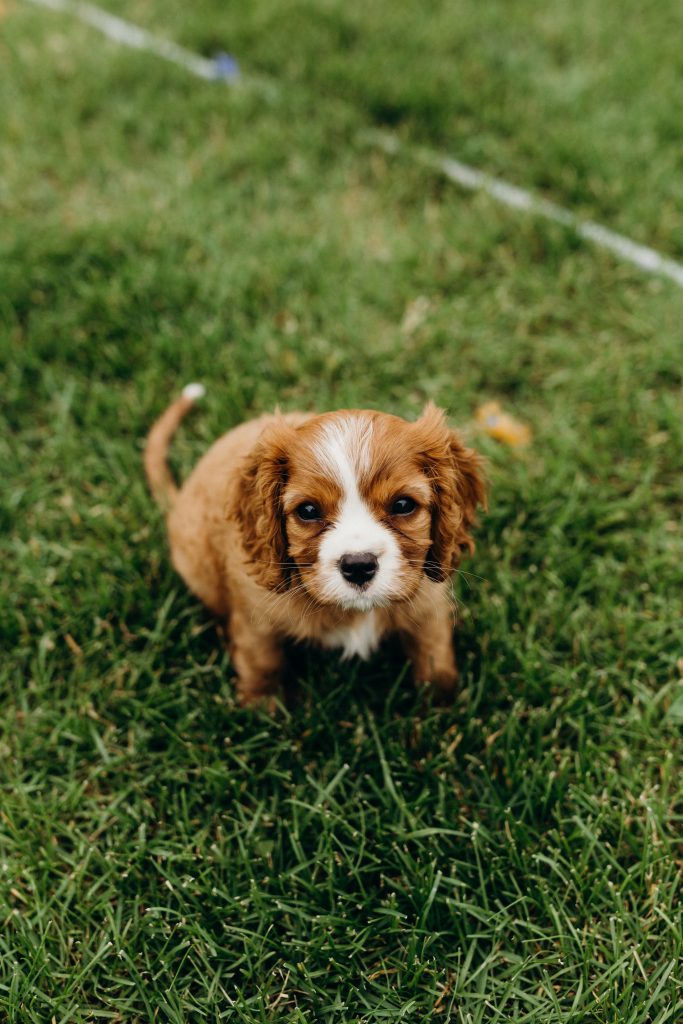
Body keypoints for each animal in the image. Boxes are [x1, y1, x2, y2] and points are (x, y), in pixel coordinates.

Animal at [144, 382, 485, 704]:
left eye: (403, 505)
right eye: (308, 511)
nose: (358, 566)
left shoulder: (429, 601)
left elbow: (433, 651)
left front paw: (440, 704)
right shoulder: (255, 615)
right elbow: (262, 660)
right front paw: (263, 708)